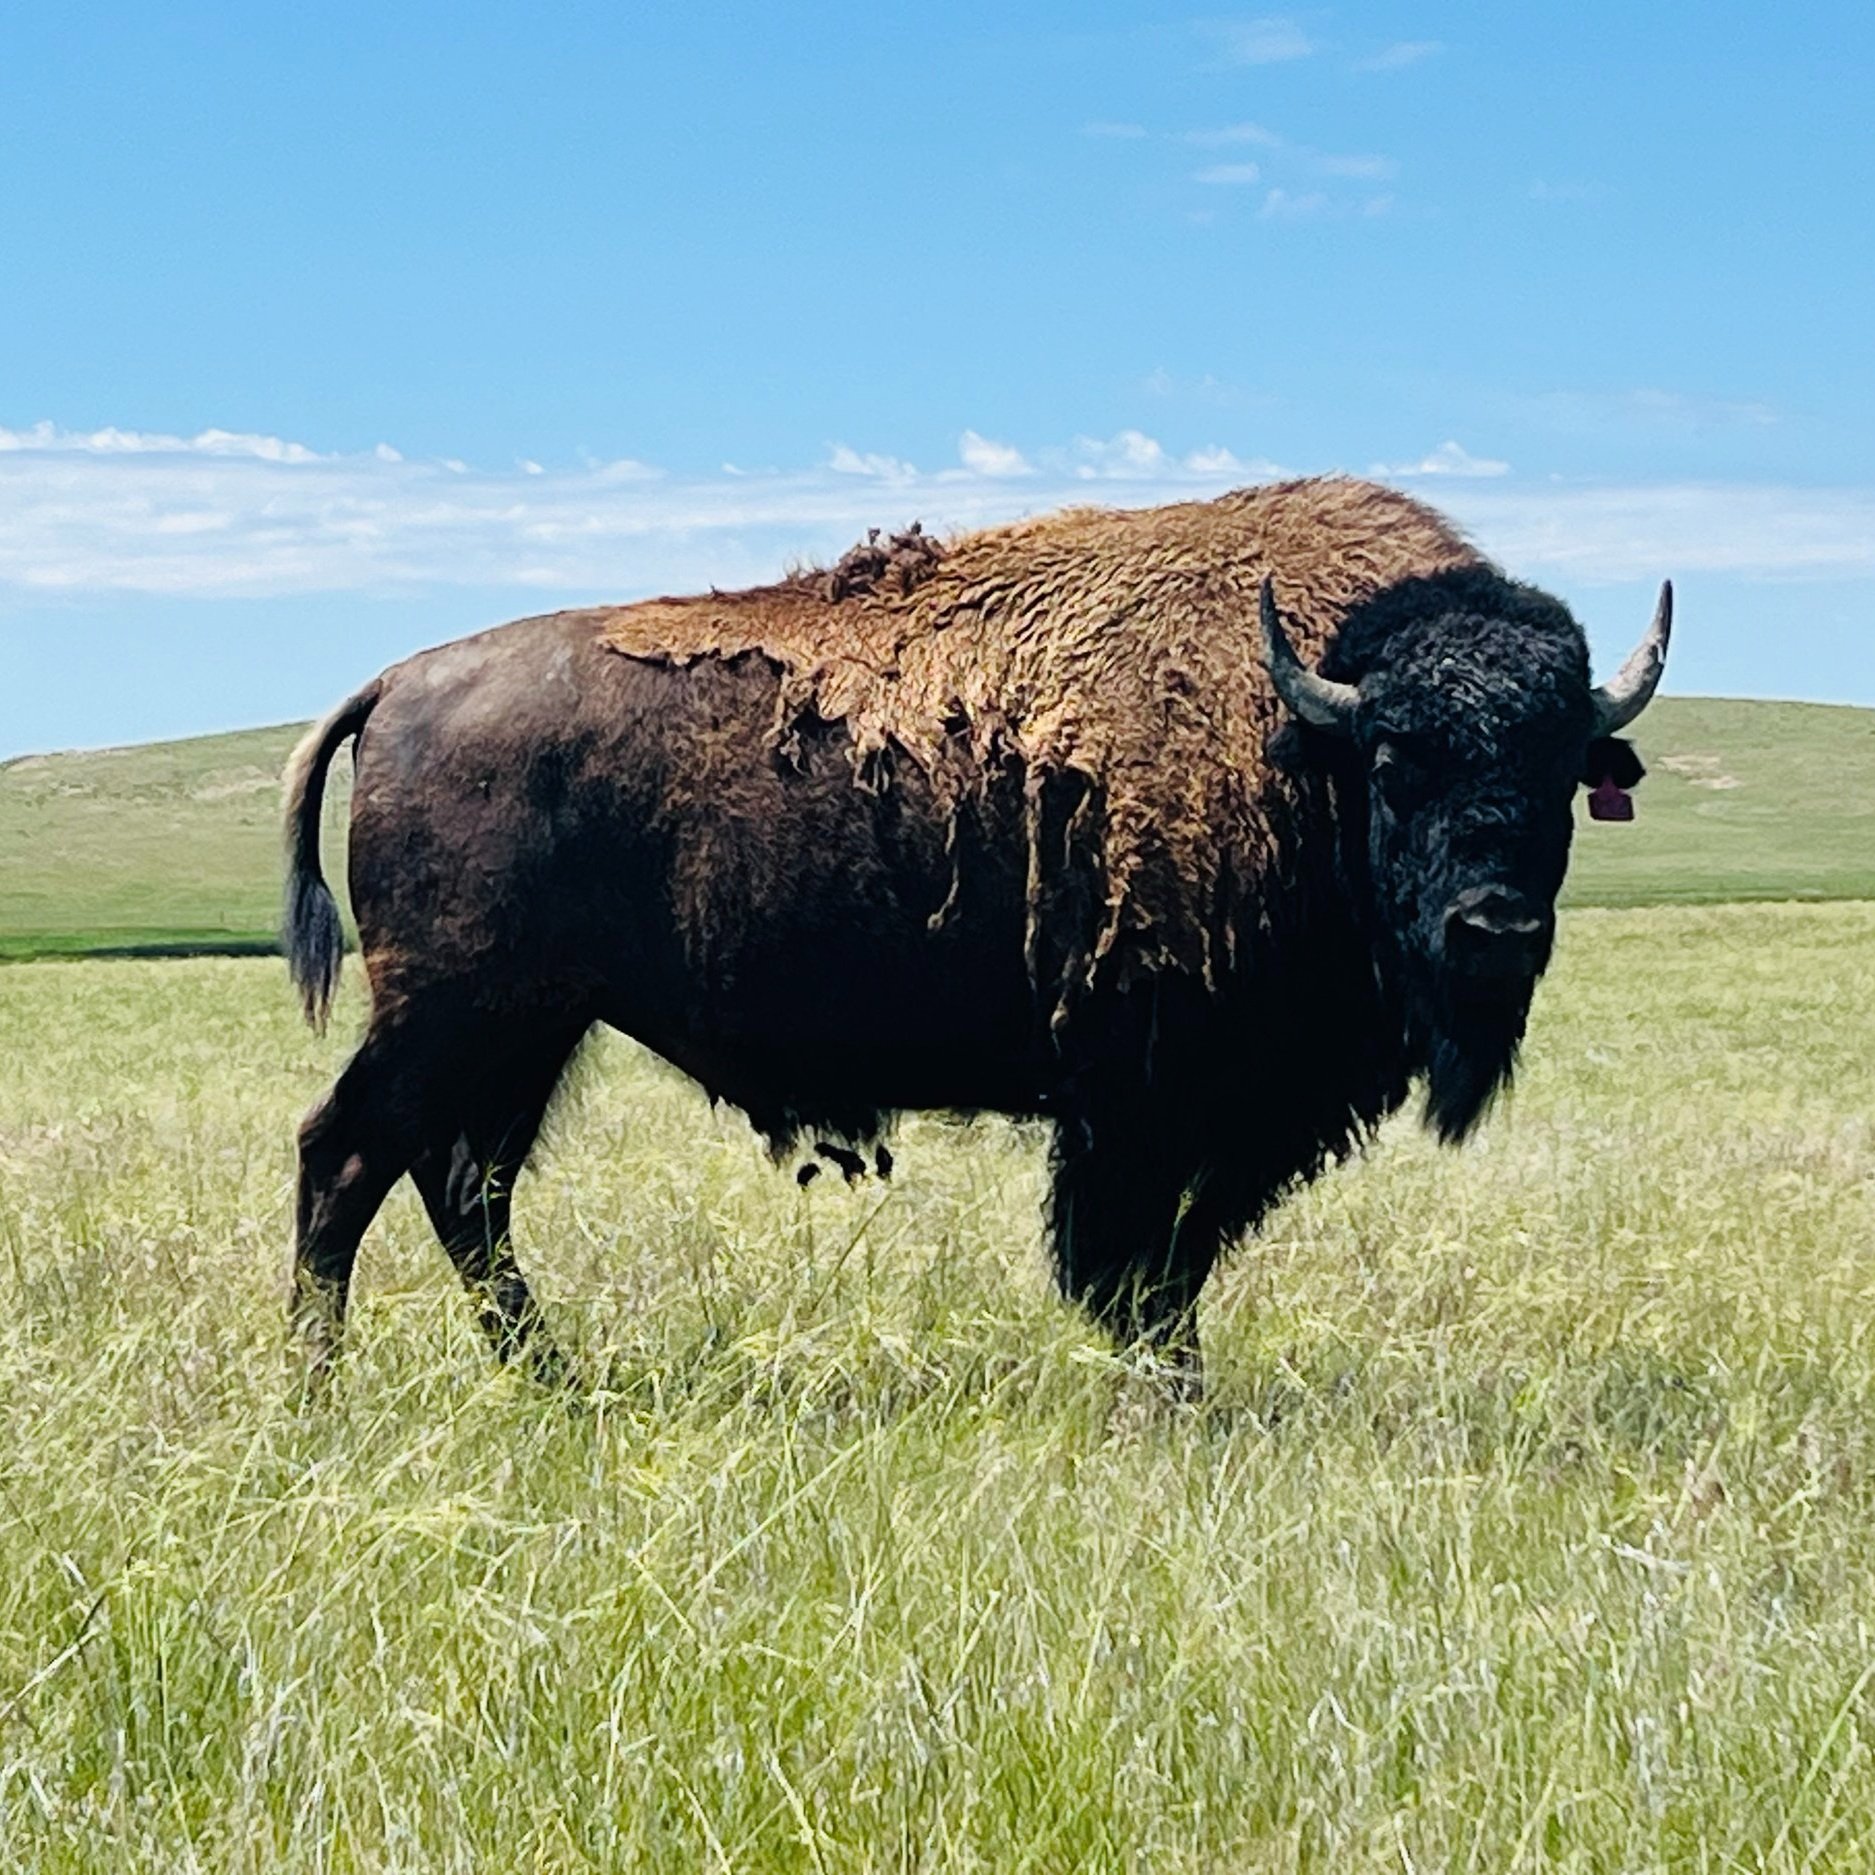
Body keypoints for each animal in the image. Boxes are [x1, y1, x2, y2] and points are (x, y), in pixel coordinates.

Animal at [282, 477, 1669, 1392]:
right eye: (1395, 762)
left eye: (1559, 772)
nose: (1494, 927)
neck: (1300, 727)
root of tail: (395, 683)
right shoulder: (1147, 1101)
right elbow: (1134, 1264)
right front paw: (1171, 1398)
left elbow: (1172, 1261)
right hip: (458, 1015)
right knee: (348, 1158)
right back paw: (322, 1394)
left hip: (525, 1032)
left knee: (466, 1189)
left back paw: (556, 1384)